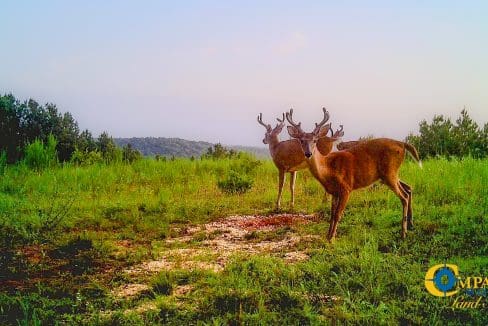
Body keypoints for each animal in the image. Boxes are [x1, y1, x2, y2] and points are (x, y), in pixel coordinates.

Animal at [284, 108, 422, 241]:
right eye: (301, 140)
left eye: (315, 140)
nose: (308, 153)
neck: (328, 169)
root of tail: (402, 144)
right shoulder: (334, 192)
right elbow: (332, 214)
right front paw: (327, 235)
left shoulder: (346, 188)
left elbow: (338, 214)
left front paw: (332, 238)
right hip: (389, 175)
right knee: (408, 188)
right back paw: (411, 224)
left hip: (389, 173)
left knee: (404, 196)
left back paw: (403, 233)